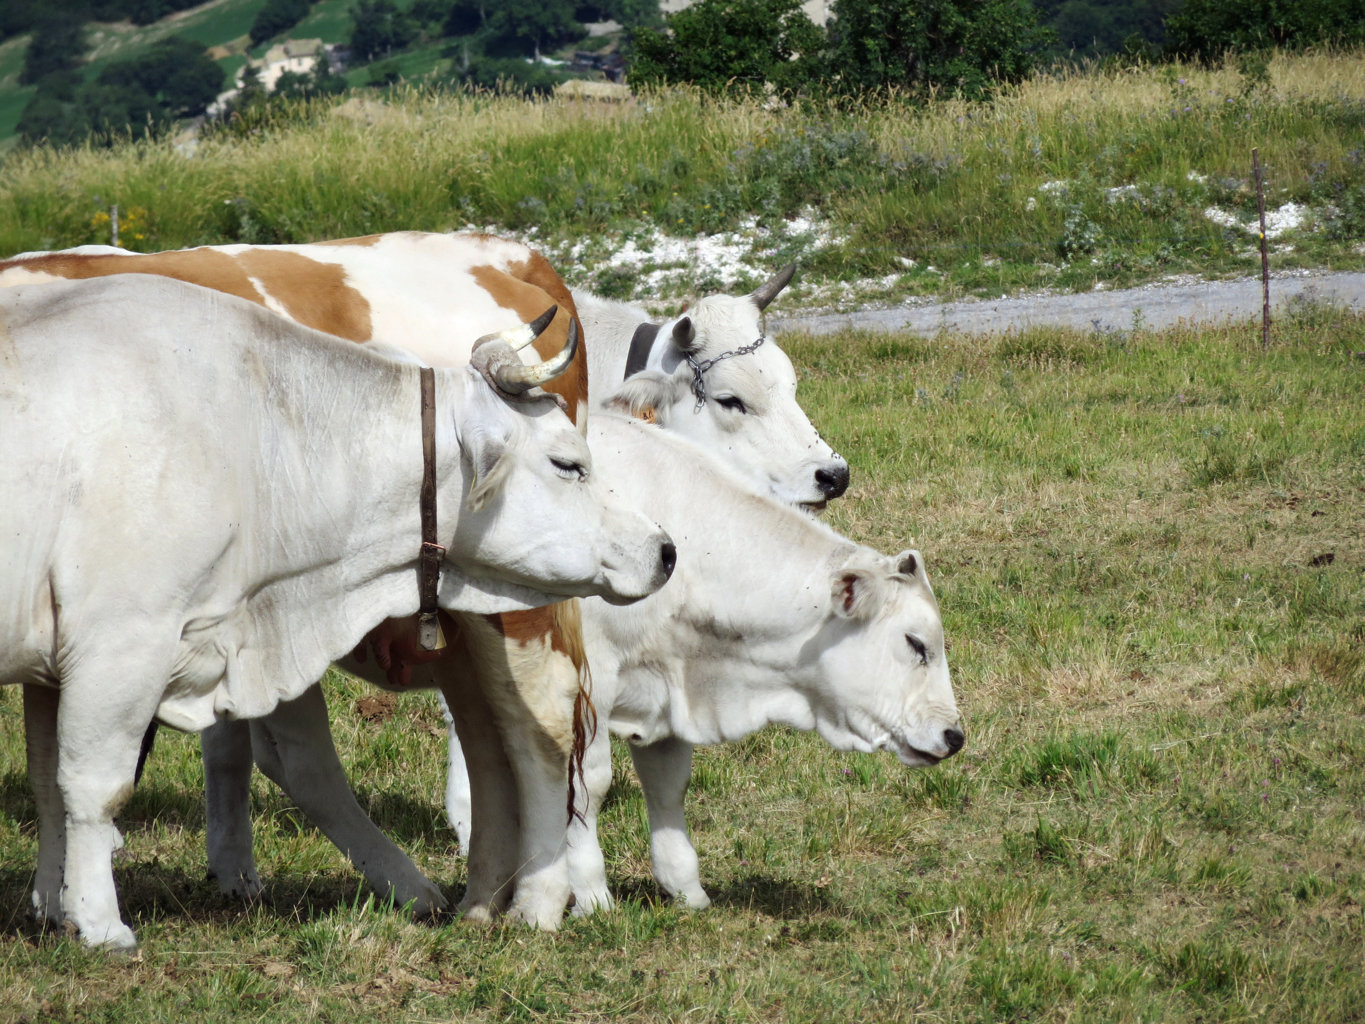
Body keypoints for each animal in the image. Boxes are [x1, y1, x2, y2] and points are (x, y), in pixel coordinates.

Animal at [0, 274, 671, 955]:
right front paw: (93, 920)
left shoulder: (76, 660)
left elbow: (56, 781)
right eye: (569, 464)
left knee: (521, 739)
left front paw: (60, 909)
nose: (665, 550)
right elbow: (83, 785)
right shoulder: (117, 643)